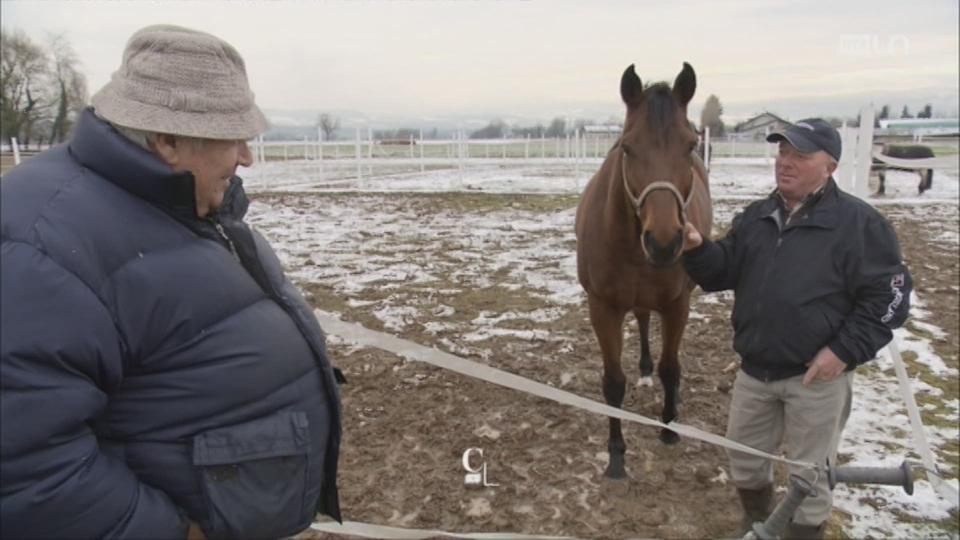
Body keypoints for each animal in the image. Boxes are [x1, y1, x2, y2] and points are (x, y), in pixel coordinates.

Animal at [568, 61, 712, 478]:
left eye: (691, 145)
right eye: (628, 147)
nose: (664, 242)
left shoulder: (678, 304)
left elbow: (671, 369)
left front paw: (669, 427)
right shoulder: (602, 307)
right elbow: (613, 382)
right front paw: (616, 455)